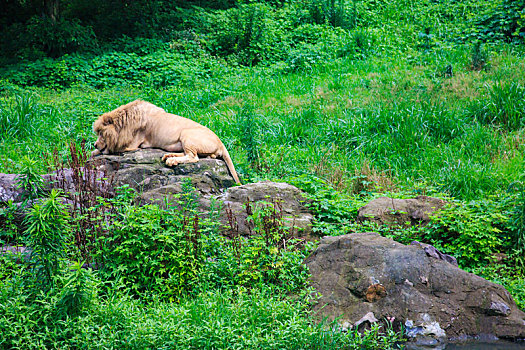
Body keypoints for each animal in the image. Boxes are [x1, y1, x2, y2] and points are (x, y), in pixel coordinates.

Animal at [92, 100, 242, 185]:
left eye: (101, 133)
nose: (94, 144)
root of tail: (221, 142)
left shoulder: (133, 145)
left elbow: (110, 149)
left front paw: (97, 150)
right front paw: (93, 151)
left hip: (186, 133)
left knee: (194, 157)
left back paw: (171, 161)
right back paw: (169, 156)